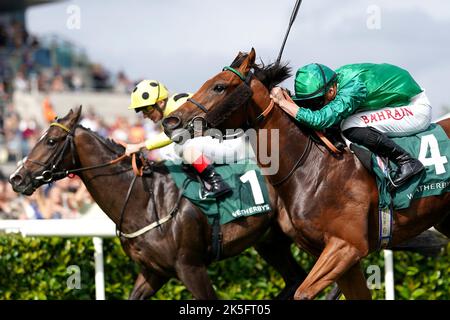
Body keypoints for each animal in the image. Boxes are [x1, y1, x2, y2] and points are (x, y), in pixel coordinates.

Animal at [8, 107, 310, 300]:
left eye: (51, 141)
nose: (16, 178)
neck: (146, 201)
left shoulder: (191, 267)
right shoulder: (153, 271)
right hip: (270, 242)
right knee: (296, 278)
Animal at [163, 48, 450, 298]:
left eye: (219, 86)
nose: (171, 121)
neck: (311, 170)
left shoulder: (347, 247)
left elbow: (302, 292)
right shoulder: (339, 256)